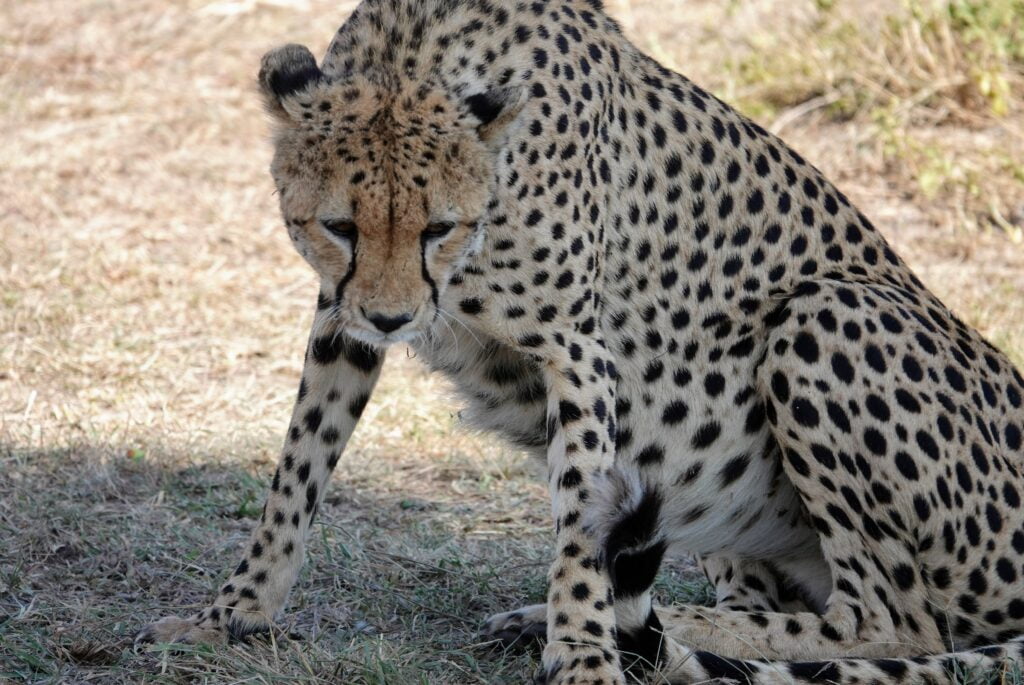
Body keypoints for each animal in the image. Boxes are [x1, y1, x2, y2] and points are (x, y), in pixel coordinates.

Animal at [140, 2, 1024, 679]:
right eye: (339, 226)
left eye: (437, 227)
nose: (394, 321)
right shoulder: (339, 317)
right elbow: (296, 471)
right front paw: (232, 613)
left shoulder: (577, 351)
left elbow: (576, 522)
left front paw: (584, 655)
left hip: (822, 311)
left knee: (896, 621)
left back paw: (674, 632)